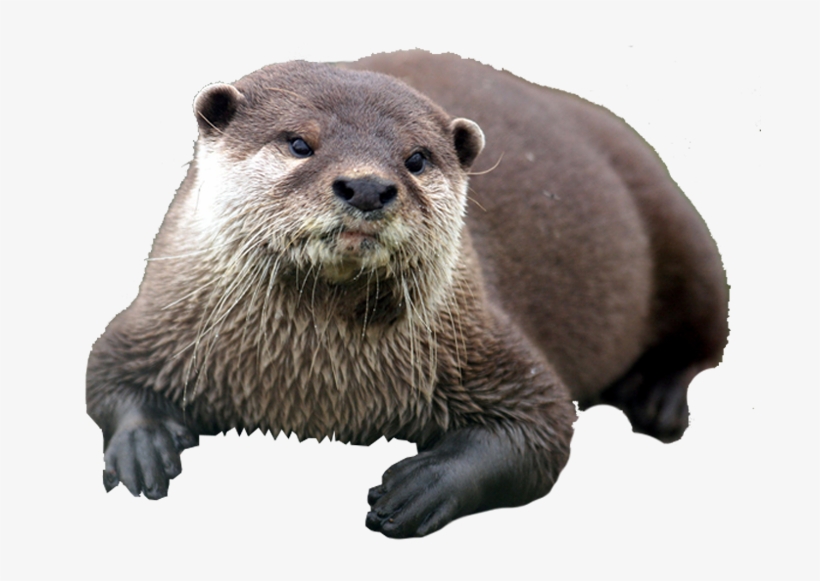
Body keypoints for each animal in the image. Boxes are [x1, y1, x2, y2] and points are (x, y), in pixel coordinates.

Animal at [87, 50, 728, 538]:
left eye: (415, 159)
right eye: (299, 143)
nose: (368, 186)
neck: (309, 386)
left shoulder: (486, 341)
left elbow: (543, 425)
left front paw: (425, 484)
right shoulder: (157, 314)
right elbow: (105, 374)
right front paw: (143, 444)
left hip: (680, 230)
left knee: (706, 331)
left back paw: (658, 398)